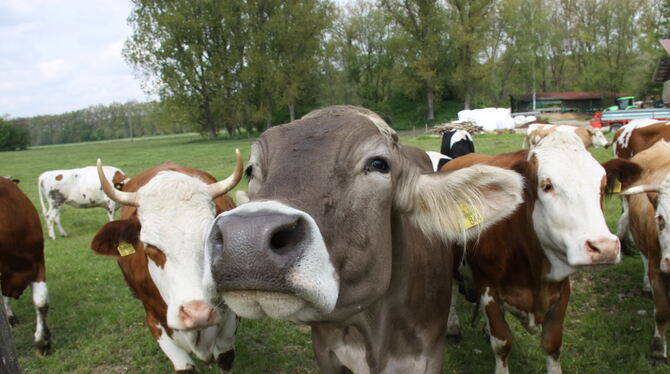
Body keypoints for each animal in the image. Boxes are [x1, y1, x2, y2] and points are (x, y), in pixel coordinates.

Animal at [90, 156, 244, 374]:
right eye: (150, 246)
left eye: (214, 238)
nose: (198, 314)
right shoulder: (155, 322)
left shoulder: (230, 317)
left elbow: (225, 357)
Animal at [202, 106, 528, 374]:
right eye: (251, 170)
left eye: (379, 164)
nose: (247, 239)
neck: (373, 335)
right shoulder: (327, 353)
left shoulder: (428, 358)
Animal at [440, 130, 640, 372]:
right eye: (547, 186)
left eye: (601, 188)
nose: (604, 247)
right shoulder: (488, 288)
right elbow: (502, 344)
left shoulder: (561, 291)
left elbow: (552, 344)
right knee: (451, 291)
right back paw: (452, 328)